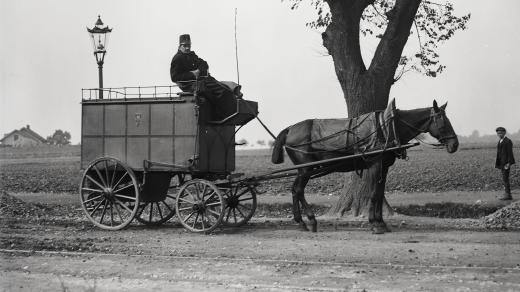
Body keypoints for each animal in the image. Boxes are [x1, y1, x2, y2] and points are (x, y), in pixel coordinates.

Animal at [270, 100, 458, 233]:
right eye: (443, 122)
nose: (454, 145)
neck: (387, 127)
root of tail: (289, 129)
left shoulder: (384, 166)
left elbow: (380, 193)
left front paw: (381, 222)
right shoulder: (376, 165)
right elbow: (374, 194)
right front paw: (375, 224)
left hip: (304, 170)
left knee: (295, 190)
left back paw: (302, 222)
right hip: (306, 169)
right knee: (298, 190)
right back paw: (309, 220)